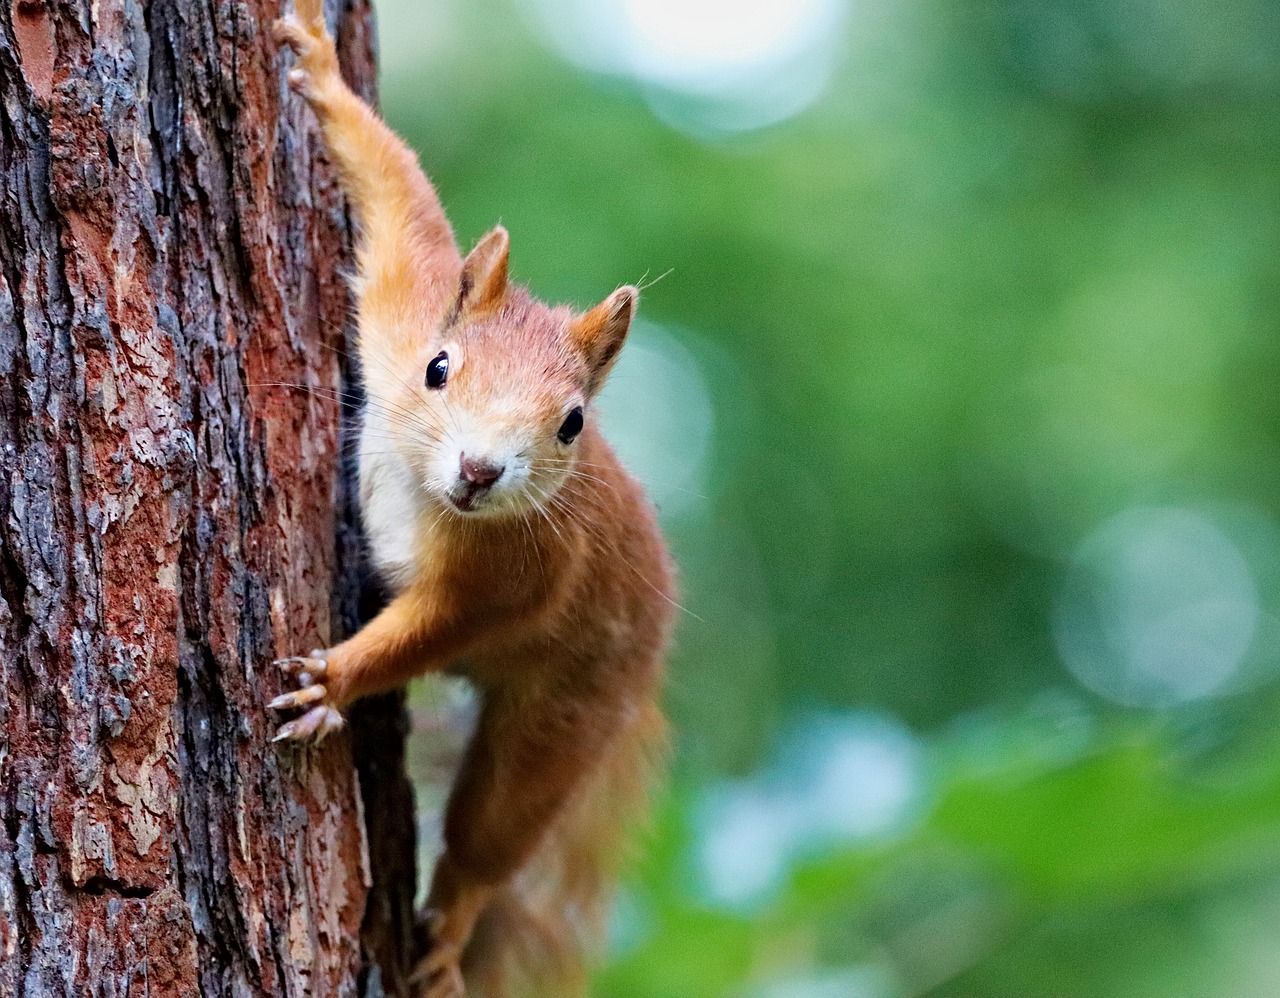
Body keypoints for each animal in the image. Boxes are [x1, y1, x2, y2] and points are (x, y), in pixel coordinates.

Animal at [271, 1, 680, 997]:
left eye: (572, 424)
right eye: (438, 367)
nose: (481, 471)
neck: (428, 499)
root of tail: (646, 670)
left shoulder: (518, 574)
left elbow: (432, 627)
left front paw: (335, 679)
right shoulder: (402, 308)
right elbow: (400, 198)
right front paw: (323, 71)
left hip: (564, 717)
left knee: (490, 837)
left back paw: (449, 932)